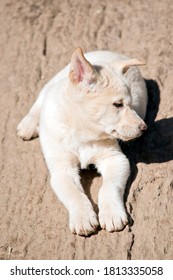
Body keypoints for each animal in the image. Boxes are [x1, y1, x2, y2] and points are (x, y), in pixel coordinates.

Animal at [17, 48, 147, 236]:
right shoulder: (62, 169)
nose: (144, 128)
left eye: (130, 104)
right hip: (50, 85)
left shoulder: (115, 159)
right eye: (118, 104)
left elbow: (108, 187)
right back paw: (28, 125)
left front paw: (112, 214)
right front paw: (83, 217)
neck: (83, 133)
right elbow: (74, 195)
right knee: (39, 103)